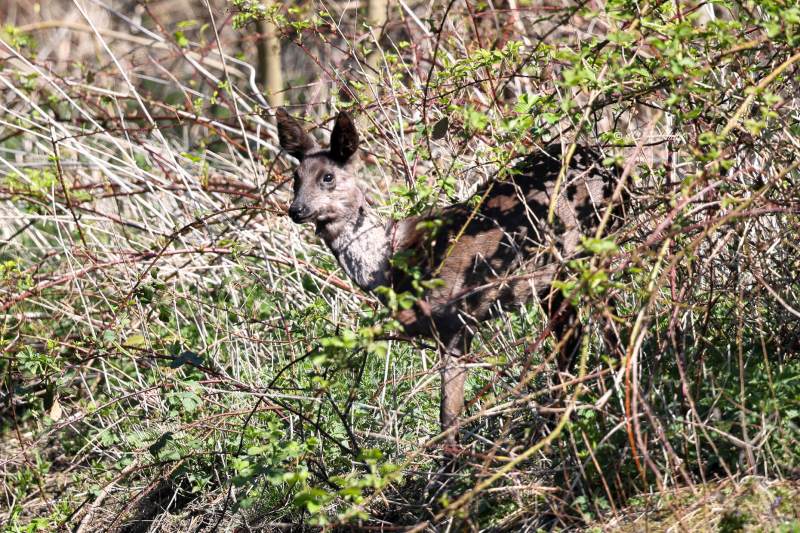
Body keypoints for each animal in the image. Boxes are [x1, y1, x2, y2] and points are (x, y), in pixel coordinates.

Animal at [275, 108, 622, 447]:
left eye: (328, 176)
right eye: (295, 178)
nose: (296, 210)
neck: (391, 264)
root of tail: (609, 163)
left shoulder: (457, 320)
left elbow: (448, 417)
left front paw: (455, 462)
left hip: (594, 244)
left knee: (607, 320)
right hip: (551, 278)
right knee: (572, 335)